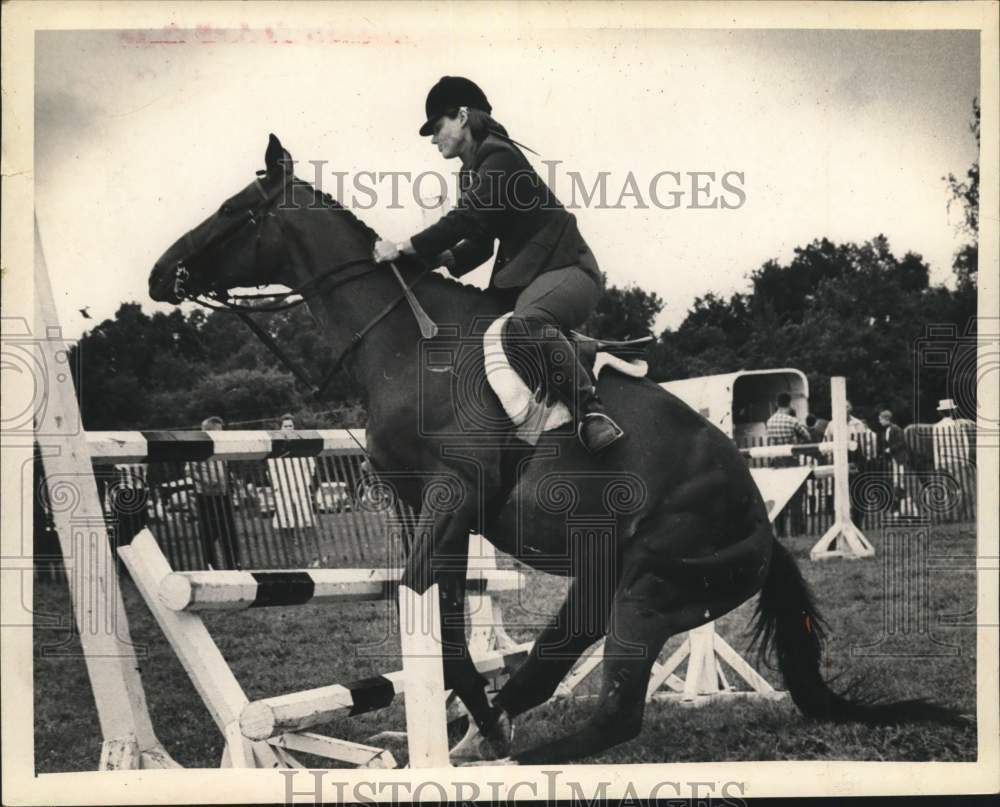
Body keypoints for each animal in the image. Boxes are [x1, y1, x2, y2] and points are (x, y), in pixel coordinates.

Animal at [146, 134, 952, 764]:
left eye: (233, 213)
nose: (160, 275)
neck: (406, 342)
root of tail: (764, 532)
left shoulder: (453, 494)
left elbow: (433, 613)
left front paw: (469, 726)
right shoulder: (418, 505)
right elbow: (442, 617)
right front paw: (471, 718)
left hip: (649, 587)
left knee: (615, 712)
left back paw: (515, 756)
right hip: (603, 578)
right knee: (554, 658)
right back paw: (496, 726)